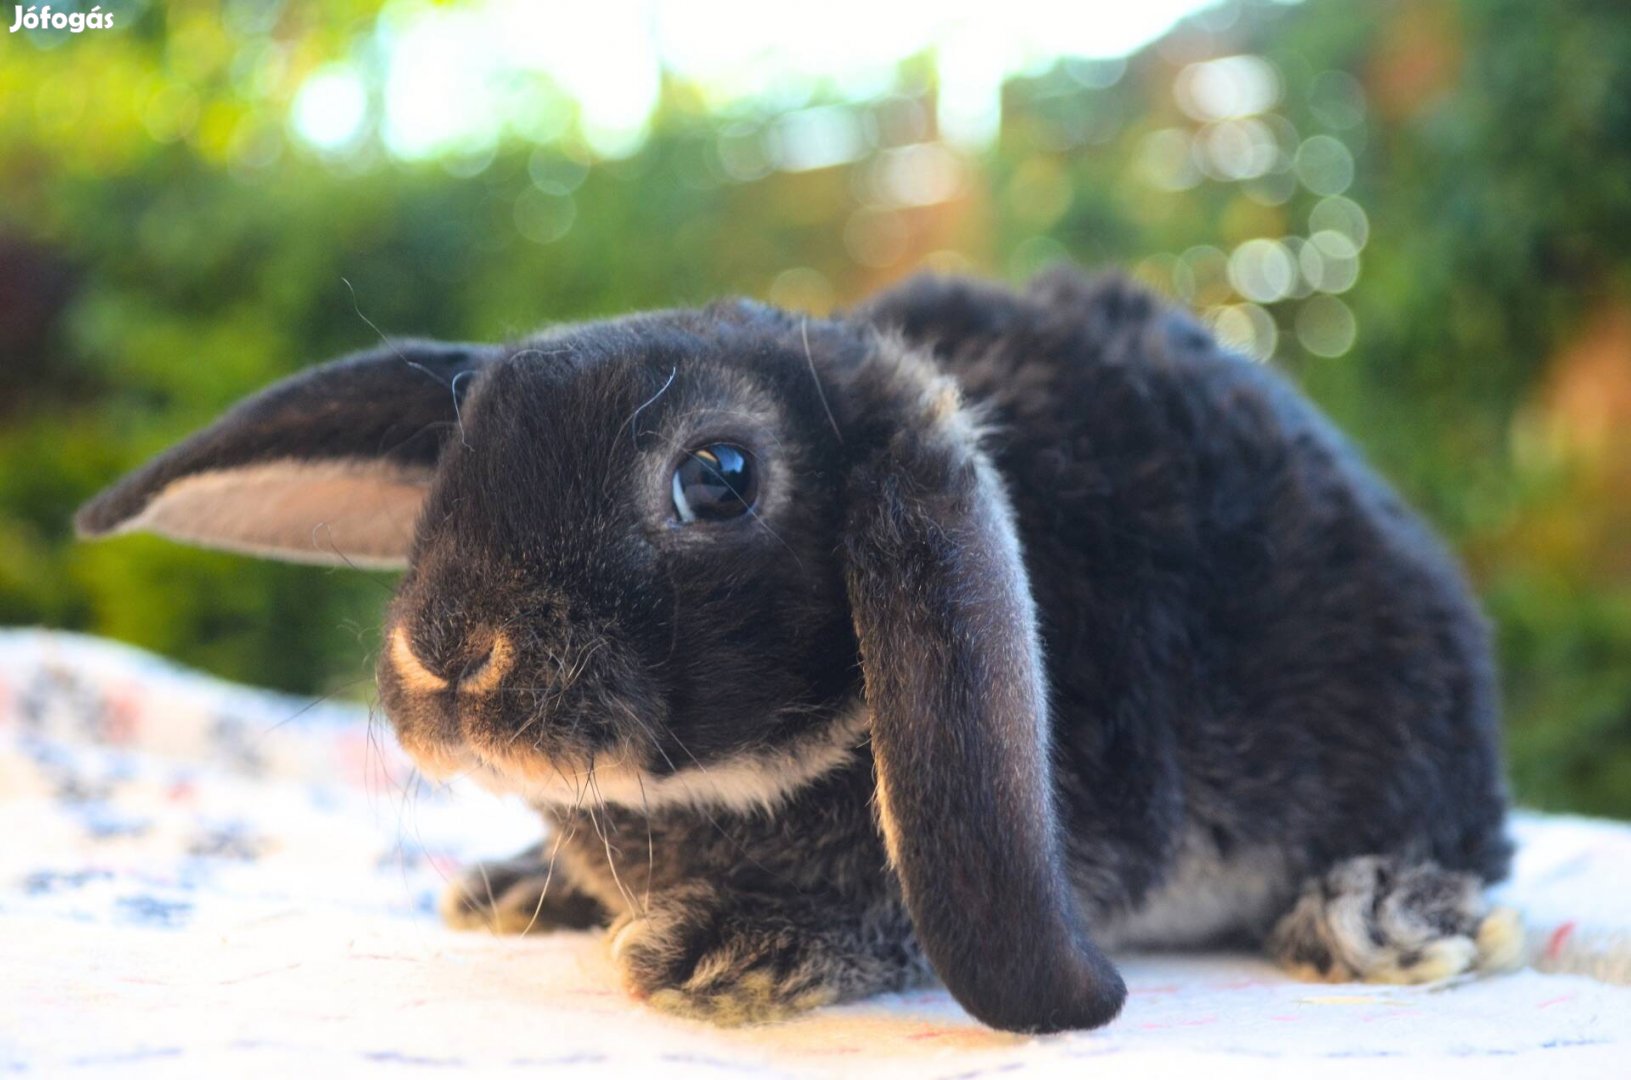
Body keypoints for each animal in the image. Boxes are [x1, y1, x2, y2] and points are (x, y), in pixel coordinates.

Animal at [73, 269, 1526, 1031]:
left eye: (716, 477)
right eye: (454, 453)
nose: (445, 652)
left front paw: (733, 957)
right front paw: (541, 888)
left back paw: (1374, 915)